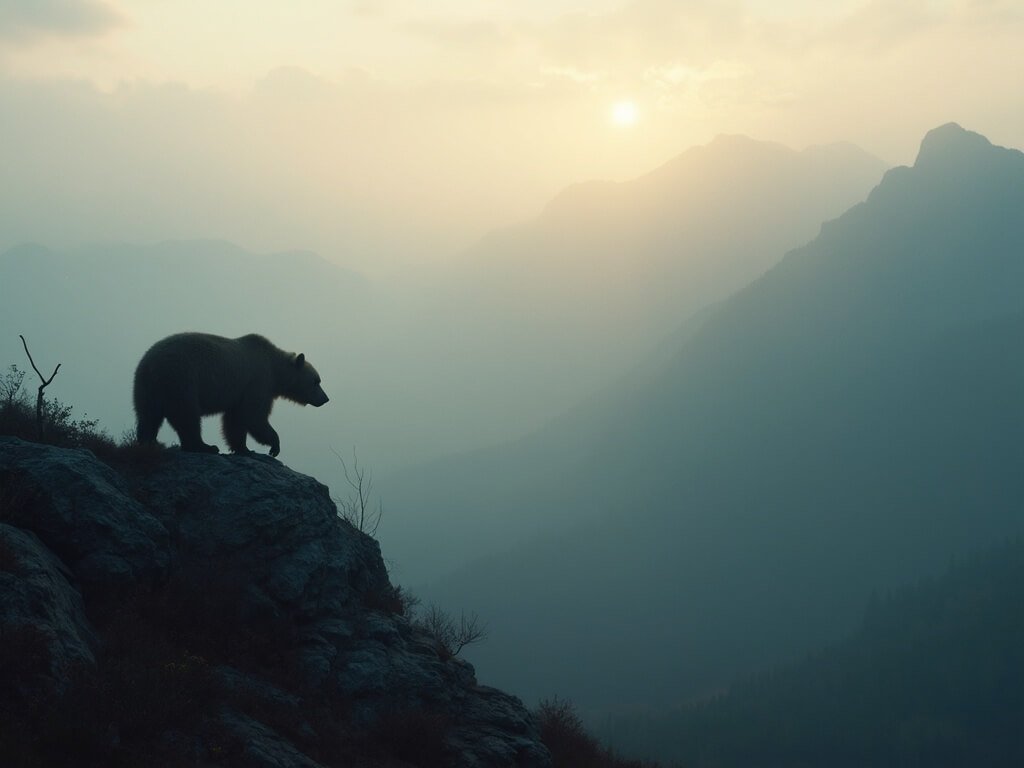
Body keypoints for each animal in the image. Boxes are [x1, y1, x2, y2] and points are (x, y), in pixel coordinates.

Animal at [134, 332, 329, 457]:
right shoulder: (258, 382)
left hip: (147, 387)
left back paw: (148, 443)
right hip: (181, 379)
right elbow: (253, 415)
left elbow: (234, 419)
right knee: (187, 415)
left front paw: (243, 448)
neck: (274, 366)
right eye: (316, 381)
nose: (326, 399)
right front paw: (274, 446)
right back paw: (204, 446)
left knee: (148, 417)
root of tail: (150, 363)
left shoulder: (241, 391)